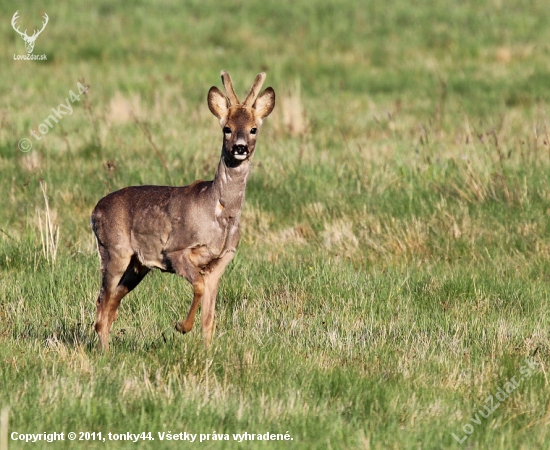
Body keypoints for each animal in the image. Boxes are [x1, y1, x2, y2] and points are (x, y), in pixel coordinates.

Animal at [93, 71, 280, 352]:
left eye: (253, 128)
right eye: (226, 128)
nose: (240, 147)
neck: (219, 215)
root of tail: (94, 211)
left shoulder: (221, 261)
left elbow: (209, 317)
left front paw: (207, 351)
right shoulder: (176, 250)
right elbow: (199, 287)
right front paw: (181, 326)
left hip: (137, 264)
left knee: (111, 303)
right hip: (114, 250)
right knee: (102, 305)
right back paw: (104, 352)